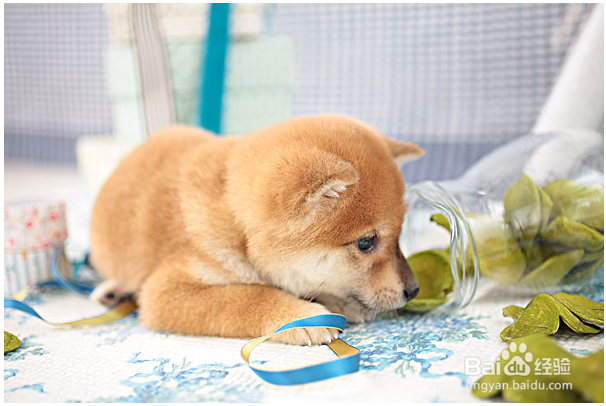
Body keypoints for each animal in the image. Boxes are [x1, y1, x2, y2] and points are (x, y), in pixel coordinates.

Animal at [89, 115, 423, 346]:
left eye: (399, 236)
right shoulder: (165, 292)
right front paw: (304, 316)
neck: (235, 220)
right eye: (366, 242)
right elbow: (249, 297)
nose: (414, 291)